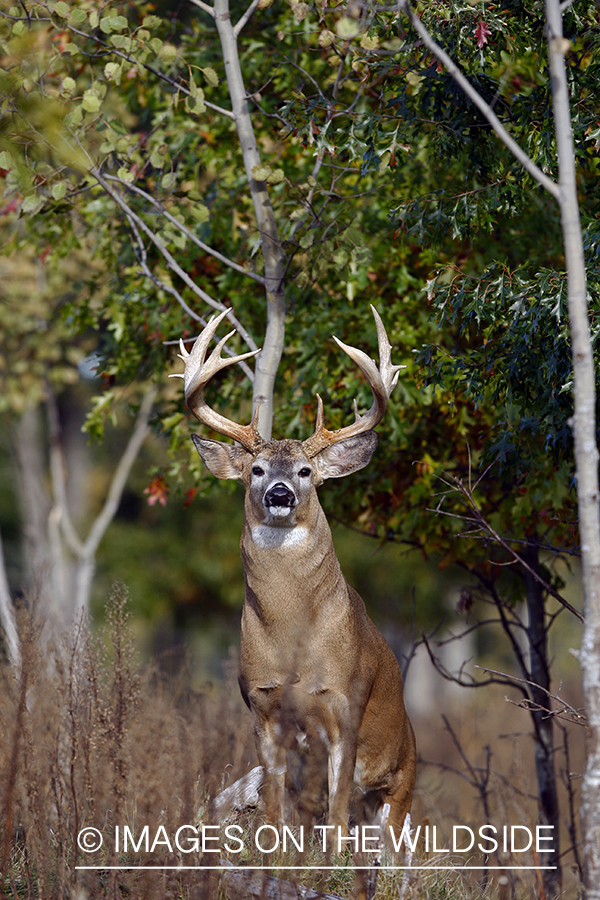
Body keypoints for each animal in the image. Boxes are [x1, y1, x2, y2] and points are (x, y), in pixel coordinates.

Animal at [173, 306, 418, 856]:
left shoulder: (346, 706)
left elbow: (337, 819)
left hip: (402, 788)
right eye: (256, 470)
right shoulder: (260, 707)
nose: (280, 493)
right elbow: (273, 815)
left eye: (307, 471)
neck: (293, 646)